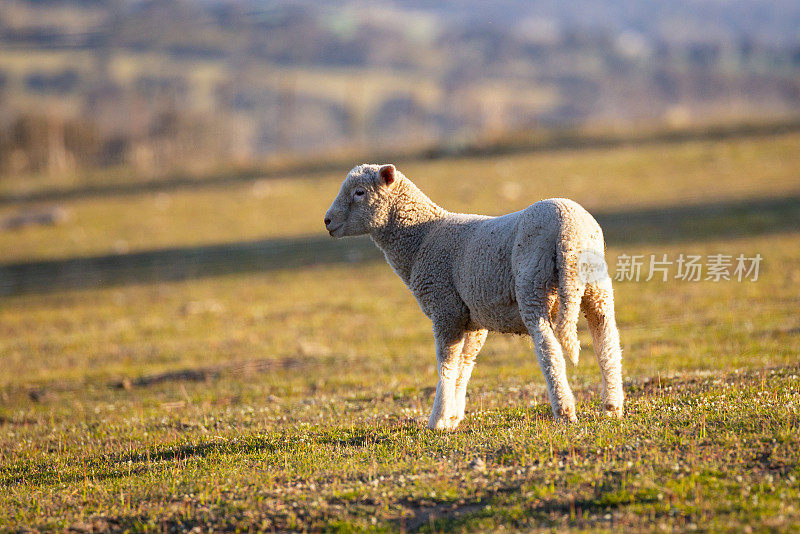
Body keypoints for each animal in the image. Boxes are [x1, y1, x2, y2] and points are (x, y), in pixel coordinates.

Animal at [322, 163, 620, 432]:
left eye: (359, 192)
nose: (327, 221)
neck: (422, 237)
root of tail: (569, 229)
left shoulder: (445, 308)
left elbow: (446, 364)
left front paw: (438, 420)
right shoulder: (474, 318)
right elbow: (464, 365)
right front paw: (453, 416)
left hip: (533, 284)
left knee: (549, 347)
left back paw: (565, 410)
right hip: (596, 287)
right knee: (606, 340)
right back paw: (613, 406)